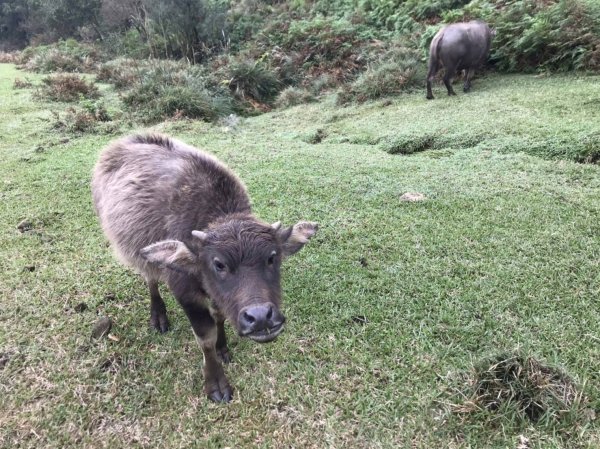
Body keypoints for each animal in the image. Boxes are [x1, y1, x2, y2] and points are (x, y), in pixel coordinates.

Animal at [91, 133, 316, 402]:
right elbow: (205, 337)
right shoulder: (185, 293)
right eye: (218, 264)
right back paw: (158, 314)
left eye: (272, 257)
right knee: (151, 278)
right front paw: (215, 382)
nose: (261, 317)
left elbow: (219, 316)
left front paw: (222, 347)